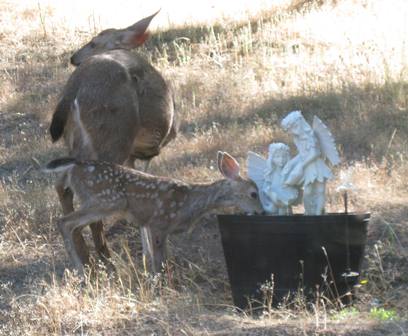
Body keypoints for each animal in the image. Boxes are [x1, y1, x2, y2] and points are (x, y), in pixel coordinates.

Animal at [44, 152, 262, 276]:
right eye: (254, 193)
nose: (261, 211)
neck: (190, 202)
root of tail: (75, 165)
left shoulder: (155, 227)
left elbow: (163, 257)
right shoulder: (158, 222)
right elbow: (159, 260)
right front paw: (159, 281)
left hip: (98, 204)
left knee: (74, 225)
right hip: (107, 200)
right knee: (64, 222)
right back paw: (80, 271)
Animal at [48, 11, 176, 268]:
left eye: (93, 42)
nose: (73, 58)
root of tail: (76, 84)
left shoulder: (135, 155)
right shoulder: (145, 152)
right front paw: (150, 257)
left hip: (76, 139)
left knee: (64, 184)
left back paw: (87, 256)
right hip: (114, 135)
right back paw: (102, 256)